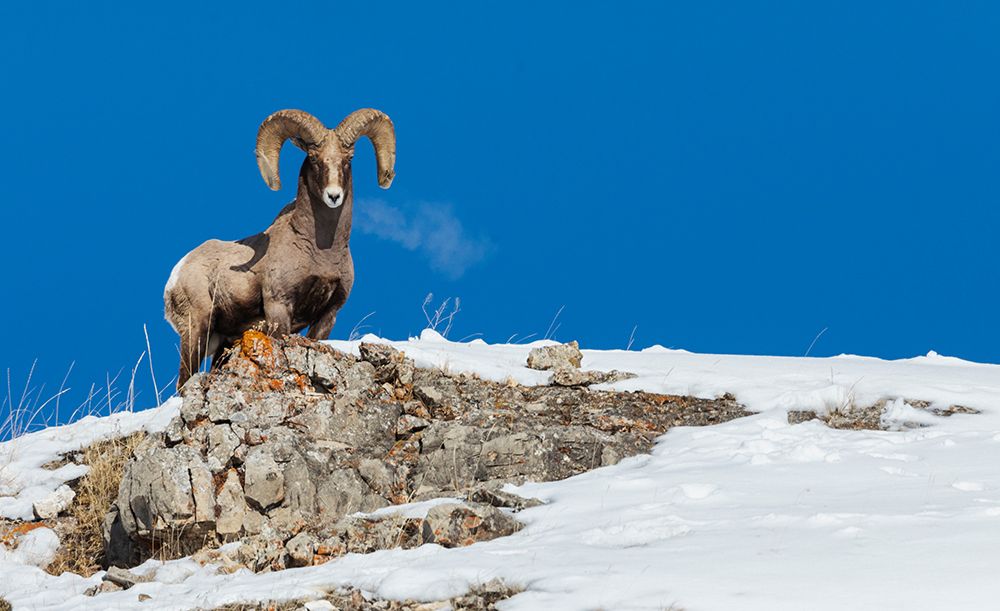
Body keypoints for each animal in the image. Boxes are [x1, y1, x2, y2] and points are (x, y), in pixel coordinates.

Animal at [164, 108, 396, 389]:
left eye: (348, 159)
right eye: (314, 158)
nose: (333, 196)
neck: (321, 252)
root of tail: (176, 274)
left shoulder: (328, 315)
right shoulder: (279, 307)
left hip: (222, 344)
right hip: (196, 331)